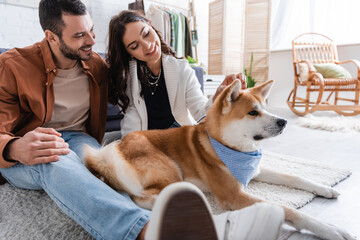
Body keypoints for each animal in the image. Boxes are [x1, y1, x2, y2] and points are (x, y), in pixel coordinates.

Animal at [83, 79, 354, 239]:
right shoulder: (233, 195)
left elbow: (295, 177)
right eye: (253, 112)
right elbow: (285, 208)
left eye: (266, 109)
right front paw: (331, 229)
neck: (234, 148)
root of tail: (116, 148)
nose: (283, 121)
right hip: (170, 168)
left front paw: (324, 188)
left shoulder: (256, 171)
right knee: (141, 197)